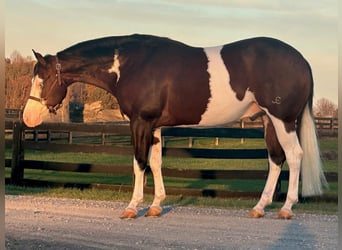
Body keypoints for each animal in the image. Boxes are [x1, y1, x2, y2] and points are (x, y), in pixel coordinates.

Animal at [22, 33, 328, 219]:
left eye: (42, 80)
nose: (28, 118)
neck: (130, 65)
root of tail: (302, 61)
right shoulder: (155, 126)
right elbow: (156, 162)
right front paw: (156, 206)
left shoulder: (140, 123)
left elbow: (139, 163)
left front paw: (132, 207)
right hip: (268, 121)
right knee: (276, 159)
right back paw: (260, 207)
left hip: (282, 120)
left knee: (294, 156)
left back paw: (286, 208)